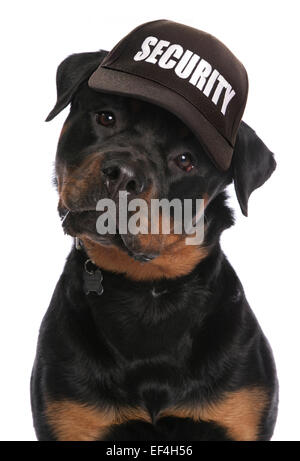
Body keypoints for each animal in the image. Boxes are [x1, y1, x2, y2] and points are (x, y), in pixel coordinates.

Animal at [31, 49, 278, 438]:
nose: (123, 175)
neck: (148, 290)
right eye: (106, 117)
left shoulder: (239, 413)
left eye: (185, 160)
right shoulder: (70, 415)